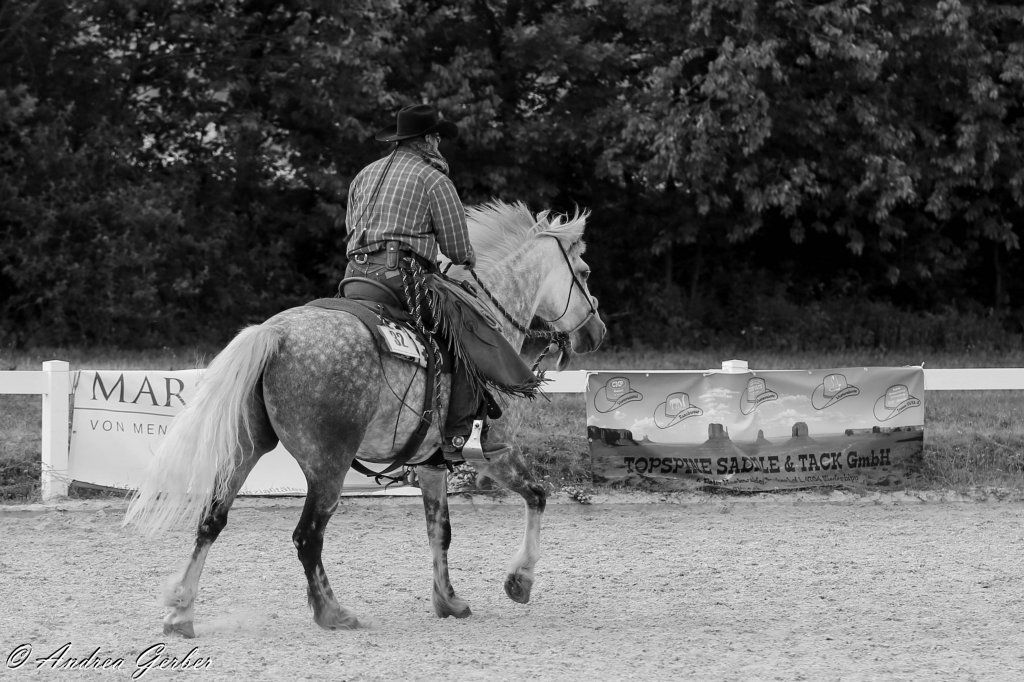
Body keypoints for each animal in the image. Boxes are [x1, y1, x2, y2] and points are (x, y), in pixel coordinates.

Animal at [124, 199, 607, 637]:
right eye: (583, 272)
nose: (596, 332)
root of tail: (274, 334)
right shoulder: (494, 450)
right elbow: (537, 496)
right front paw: (519, 581)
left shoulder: (431, 463)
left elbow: (440, 530)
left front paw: (448, 600)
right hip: (328, 465)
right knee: (307, 536)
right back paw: (332, 613)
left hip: (244, 452)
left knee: (212, 520)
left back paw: (181, 612)